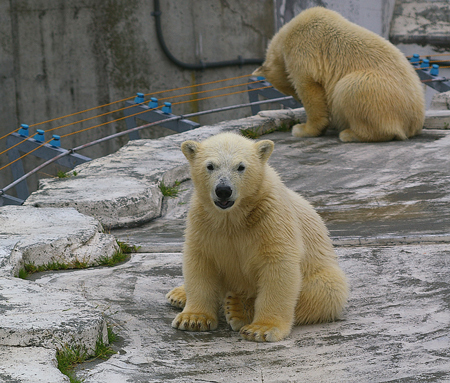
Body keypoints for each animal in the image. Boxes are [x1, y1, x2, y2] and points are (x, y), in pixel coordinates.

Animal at [166, 134, 348, 344]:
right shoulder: (203, 221)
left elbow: (278, 266)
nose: (223, 190)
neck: (233, 217)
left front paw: (261, 329)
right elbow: (200, 261)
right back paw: (179, 294)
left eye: (241, 167)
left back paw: (238, 309)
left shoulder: (271, 217)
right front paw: (193, 319)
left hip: (321, 271)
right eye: (210, 166)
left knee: (326, 291)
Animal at [253, 7, 426, 142]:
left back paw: (350, 134)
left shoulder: (302, 48)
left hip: (381, 93)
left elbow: (309, 85)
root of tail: (414, 122)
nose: (297, 100)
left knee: (351, 87)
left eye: (292, 90)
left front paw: (302, 129)